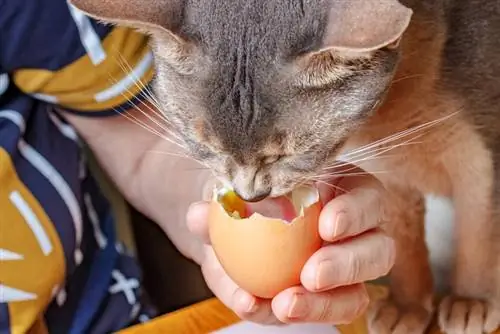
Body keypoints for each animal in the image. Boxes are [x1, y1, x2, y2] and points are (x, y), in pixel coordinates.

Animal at [70, 0, 500, 332]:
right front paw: (406, 306)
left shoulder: (483, 160)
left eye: (287, 154)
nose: (250, 194)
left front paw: (472, 300)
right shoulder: (391, 172)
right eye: (206, 145)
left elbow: (479, 236)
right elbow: (406, 243)